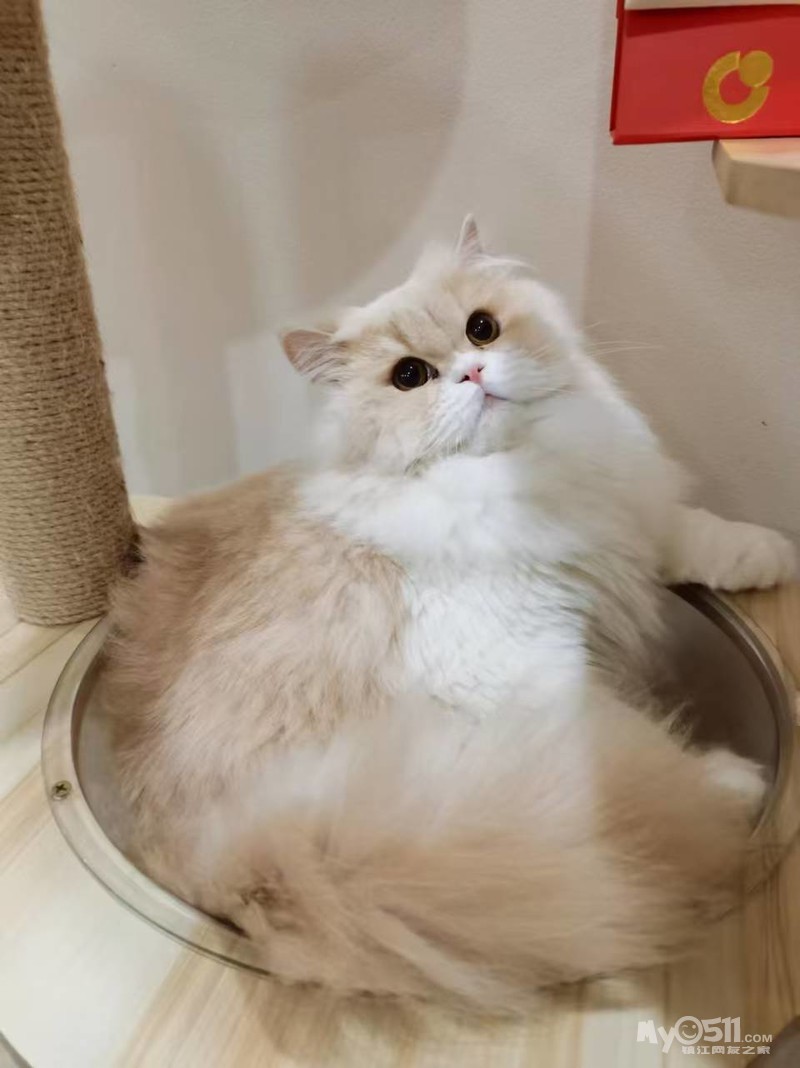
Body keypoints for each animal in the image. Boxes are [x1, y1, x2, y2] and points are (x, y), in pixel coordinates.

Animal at [102, 217, 796, 1013]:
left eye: (482, 328)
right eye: (410, 376)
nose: (473, 372)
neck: (521, 478)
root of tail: (231, 859)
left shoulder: (623, 519)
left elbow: (692, 534)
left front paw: (773, 556)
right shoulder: (522, 666)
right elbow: (620, 746)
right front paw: (725, 781)